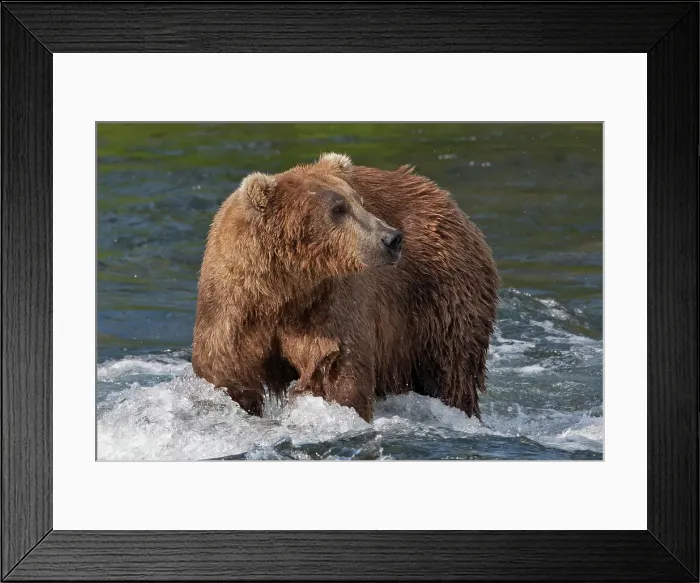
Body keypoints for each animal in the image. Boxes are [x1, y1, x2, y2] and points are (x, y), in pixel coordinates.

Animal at [191, 152, 500, 423]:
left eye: (360, 201)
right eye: (338, 209)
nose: (392, 238)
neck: (285, 290)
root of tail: (443, 197)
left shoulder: (329, 304)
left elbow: (336, 370)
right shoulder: (232, 307)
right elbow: (228, 374)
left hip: (441, 295)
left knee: (452, 369)